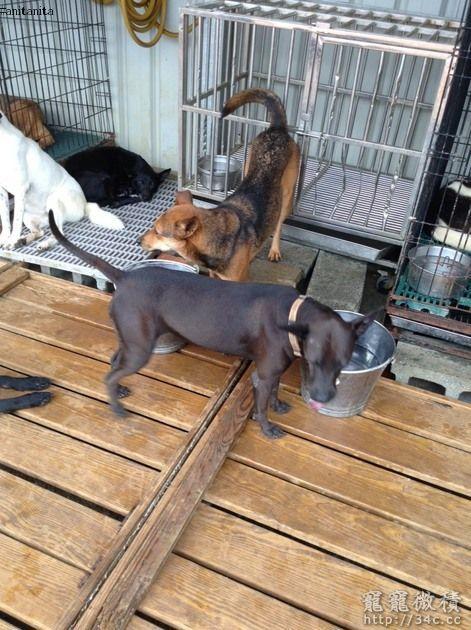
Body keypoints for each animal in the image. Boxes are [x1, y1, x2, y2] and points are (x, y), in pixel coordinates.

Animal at [0, 111, 124, 250]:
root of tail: (84, 204)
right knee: (40, 231)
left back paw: (45, 244)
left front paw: (12, 240)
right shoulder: (2, 191)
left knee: (59, 233)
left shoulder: (20, 189)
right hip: (27, 216)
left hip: (53, 200)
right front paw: (5, 238)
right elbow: (5, 219)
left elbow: (15, 223)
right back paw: (23, 240)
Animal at [49, 211, 374, 438]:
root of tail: (125, 276)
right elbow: (262, 403)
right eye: (315, 362)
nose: (322, 398)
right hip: (140, 347)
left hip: (131, 337)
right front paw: (267, 428)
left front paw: (278, 404)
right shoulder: (263, 374)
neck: (294, 313)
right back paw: (116, 406)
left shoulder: (275, 370)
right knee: (111, 374)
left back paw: (118, 392)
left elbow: (275, 391)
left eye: (343, 364)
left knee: (114, 360)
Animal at [140, 88, 300, 281]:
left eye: (158, 232)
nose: (138, 241)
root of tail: (277, 128)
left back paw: (274, 251)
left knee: (278, 226)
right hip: (247, 168)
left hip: (287, 198)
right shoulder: (213, 275)